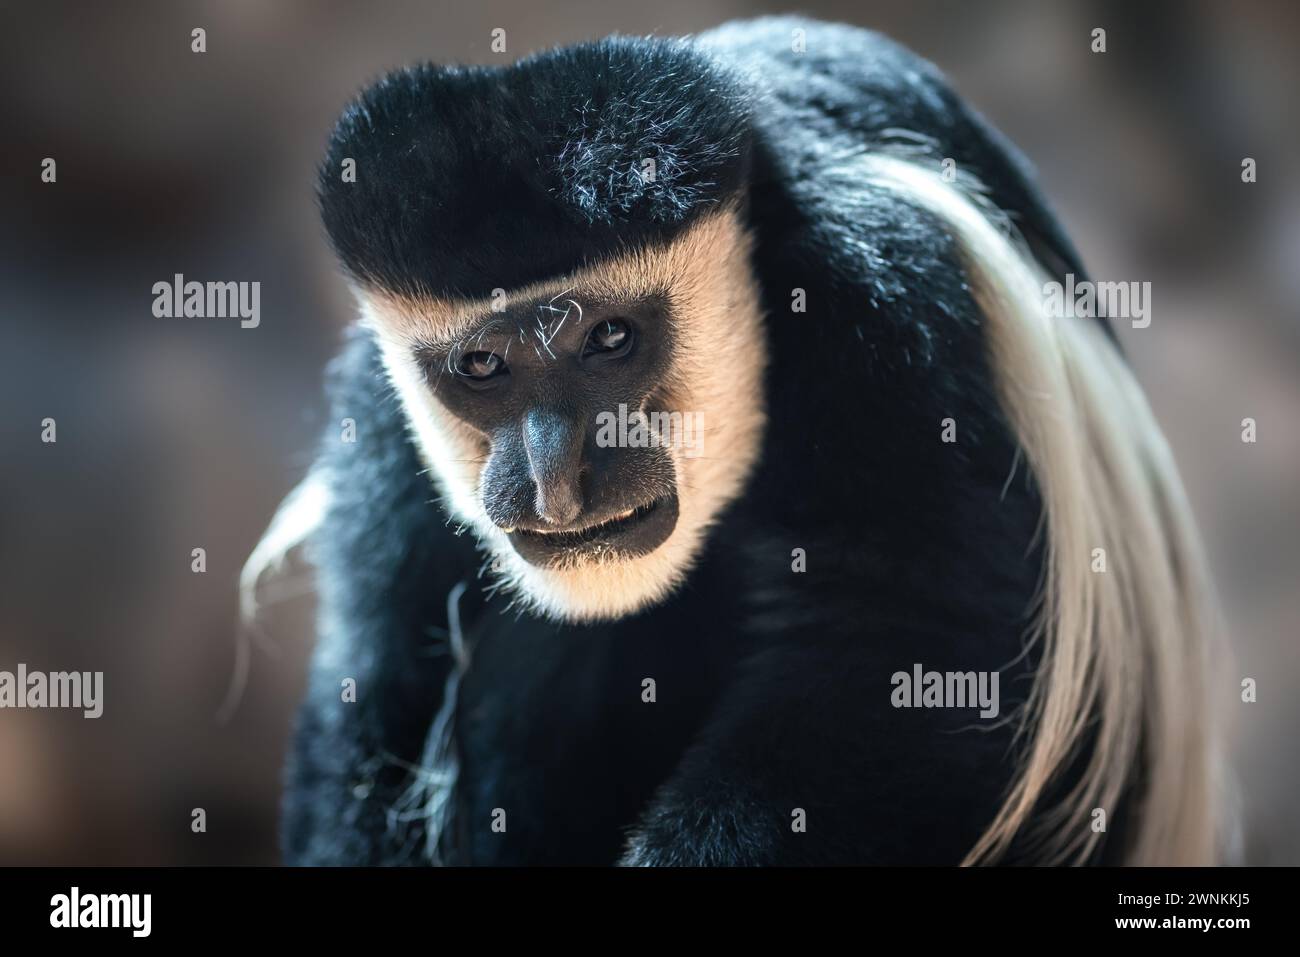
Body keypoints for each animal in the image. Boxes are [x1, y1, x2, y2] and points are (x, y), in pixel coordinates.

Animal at [241, 14, 1216, 868]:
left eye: (611, 339)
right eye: (483, 366)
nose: (556, 481)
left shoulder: (891, 293)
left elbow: (907, 648)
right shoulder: (377, 408)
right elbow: (379, 684)